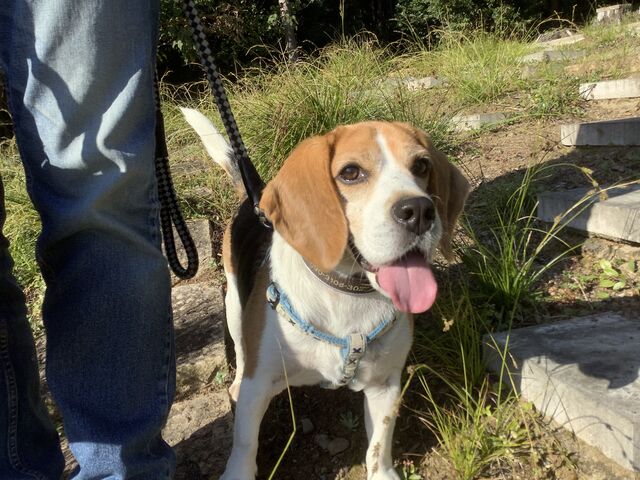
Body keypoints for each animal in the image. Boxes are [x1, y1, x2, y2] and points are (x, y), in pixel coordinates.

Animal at [181, 108, 469, 480]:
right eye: (350, 173)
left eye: (421, 165)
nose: (419, 211)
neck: (347, 295)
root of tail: (254, 196)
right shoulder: (258, 387)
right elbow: (245, 443)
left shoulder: (385, 384)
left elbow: (380, 443)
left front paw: (382, 473)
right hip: (233, 301)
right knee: (242, 347)